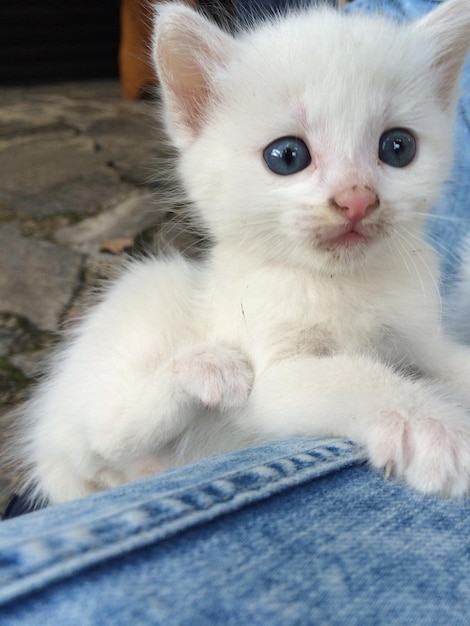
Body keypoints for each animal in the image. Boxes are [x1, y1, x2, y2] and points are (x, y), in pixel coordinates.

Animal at [16, 0, 470, 500]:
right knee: (103, 438)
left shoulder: (418, 340)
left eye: (398, 147)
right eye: (287, 156)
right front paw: (433, 428)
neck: (340, 283)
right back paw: (202, 369)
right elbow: (354, 375)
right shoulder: (270, 377)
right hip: (145, 298)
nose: (356, 200)